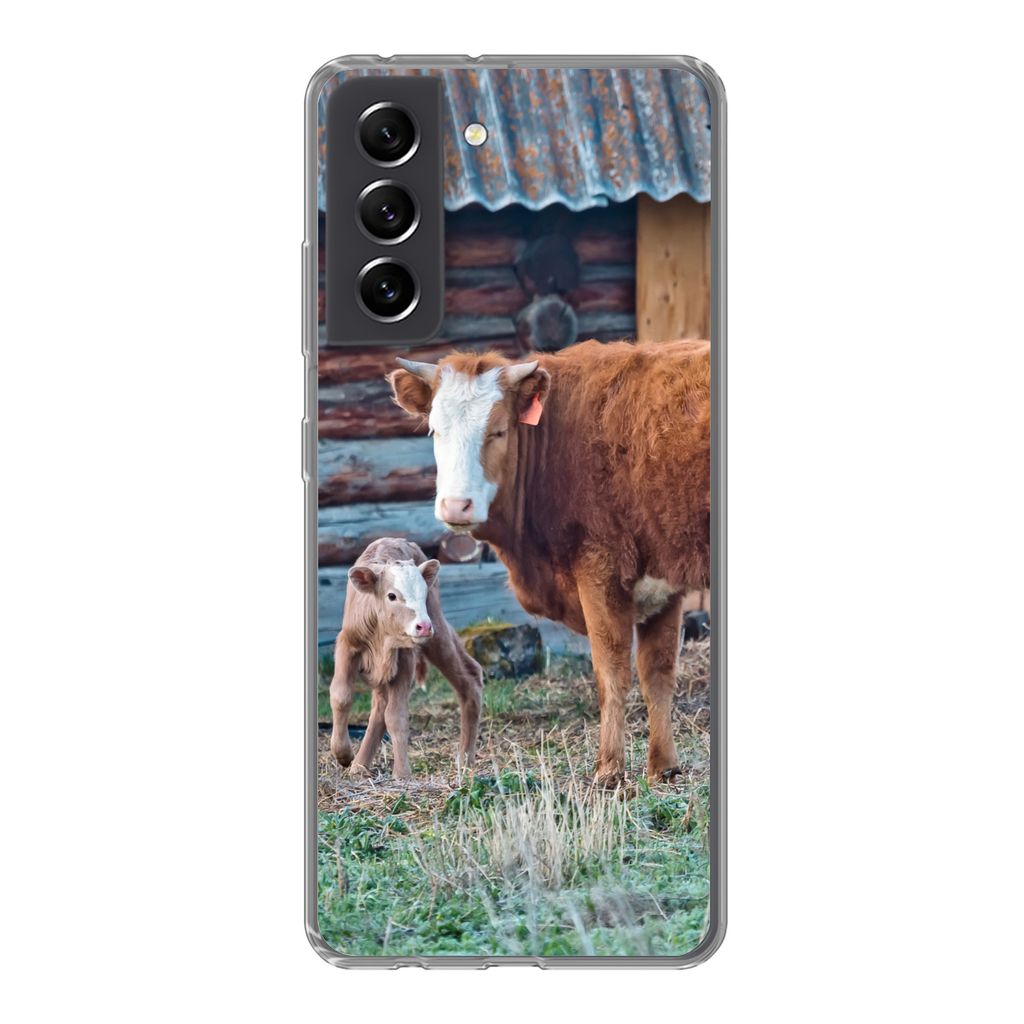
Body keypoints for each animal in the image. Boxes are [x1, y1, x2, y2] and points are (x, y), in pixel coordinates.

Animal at [329, 537, 483, 780]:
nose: (423, 626)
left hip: (437, 632)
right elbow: (341, 695)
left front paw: (402, 774)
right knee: (379, 706)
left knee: (470, 677)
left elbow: (396, 716)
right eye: (392, 595)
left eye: (423, 594)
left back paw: (465, 760)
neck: (381, 637)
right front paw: (343, 754)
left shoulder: (405, 659)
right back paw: (360, 766)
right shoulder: (347, 644)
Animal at [388, 339, 710, 786]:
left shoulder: (600, 569)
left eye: (498, 431)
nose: (455, 505)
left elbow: (611, 673)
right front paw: (663, 768)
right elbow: (657, 674)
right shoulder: (661, 581)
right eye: (435, 430)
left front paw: (609, 770)